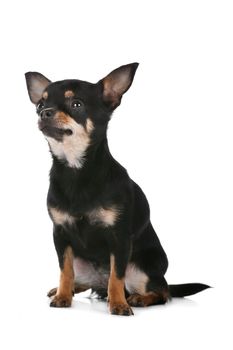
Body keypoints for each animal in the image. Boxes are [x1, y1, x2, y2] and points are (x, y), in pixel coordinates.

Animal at [24, 63, 210, 318]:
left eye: (76, 104)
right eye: (40, 105)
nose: (45, 113)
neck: (76, 172)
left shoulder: (119, 238)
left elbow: (116, 276)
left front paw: (119, 304)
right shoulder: (60, 234)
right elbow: (65, 271)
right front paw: (62, 296)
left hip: (140, 269)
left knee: (161, 292)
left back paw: (138, 298)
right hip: (82, 264)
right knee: (84, 281)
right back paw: (68, 290)